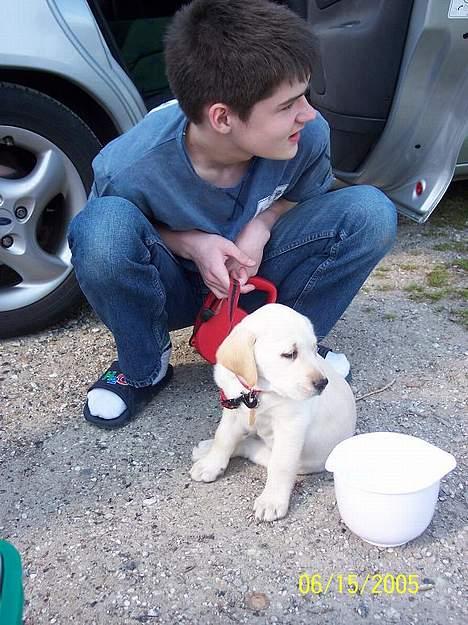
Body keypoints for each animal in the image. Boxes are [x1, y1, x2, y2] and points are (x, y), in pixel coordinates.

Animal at [189, 304, 354, 520]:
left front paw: (272, 501)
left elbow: (280, 465)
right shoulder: (233, 410)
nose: (322, 383)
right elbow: (222, 438)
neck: (259, 391)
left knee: (251, 448)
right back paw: (205, 449)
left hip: (301, 462)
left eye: (314, 349)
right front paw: (211, 464)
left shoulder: (290, 426)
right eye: (289, 354)